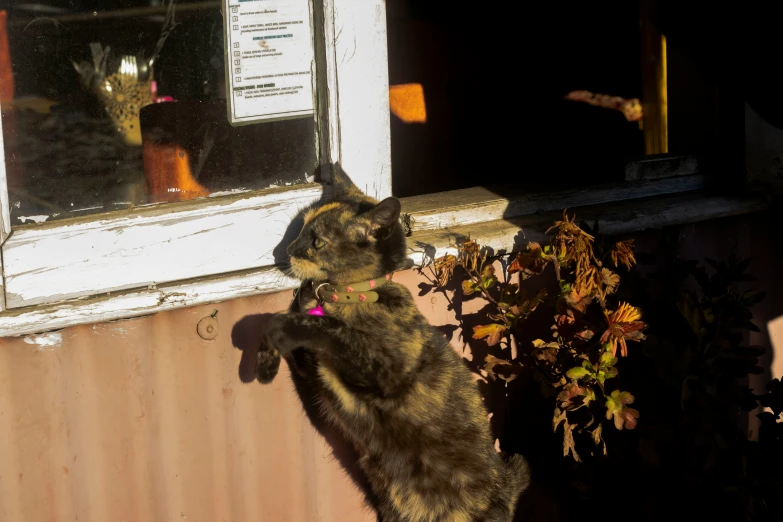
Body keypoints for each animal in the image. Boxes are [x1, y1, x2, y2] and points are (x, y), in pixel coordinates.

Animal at [260, 166, 528, 516]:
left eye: (317, 242)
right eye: (301, 229)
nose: (288, 250)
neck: (353, 295)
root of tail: (506, 487)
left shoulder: (384, 373)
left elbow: (329, 329)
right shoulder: (312, 367)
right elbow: (291, 324)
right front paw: (270, 351)